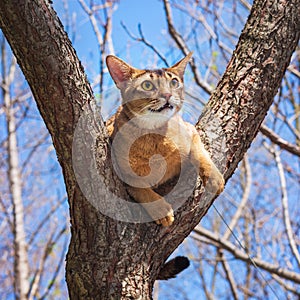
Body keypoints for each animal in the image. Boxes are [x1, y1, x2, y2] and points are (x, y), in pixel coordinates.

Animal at [106, 52, 225, 227]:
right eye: (147, 85)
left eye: (174, 82)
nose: (168, 94)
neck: (155, 134)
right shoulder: (122, 172)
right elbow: (141, 189)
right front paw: (162, 211)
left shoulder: (190, 130)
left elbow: (199, 153)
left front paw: (214, 178)